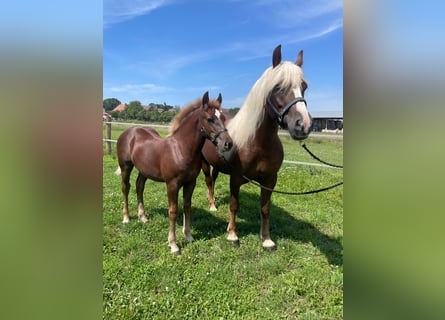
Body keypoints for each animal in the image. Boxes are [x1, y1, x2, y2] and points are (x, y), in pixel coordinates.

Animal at [115, 91, 232, 254]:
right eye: (210, 119)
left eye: (222, 118)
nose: (228, 144)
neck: (181, 149)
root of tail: (129, 132)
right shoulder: (172, 184)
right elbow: (173, 211)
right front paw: (173, 244)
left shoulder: (190, 183)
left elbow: (187, 206)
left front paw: (188, 236)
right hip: (126, 167)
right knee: (126, 188)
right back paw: (126, 218)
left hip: (144, 170)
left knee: (139, 187)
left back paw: (142, 216)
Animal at [201, 45, 312, 250]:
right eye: (278, 87)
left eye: (304, 87)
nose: (304, 125)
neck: (258, 144)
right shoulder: (236, 179)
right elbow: (234, 206)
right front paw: (232, 234)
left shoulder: (270, 180)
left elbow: (265, 208)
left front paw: (266, 239)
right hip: (204, 163)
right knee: (208, 181)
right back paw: (212, 205)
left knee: (213, 179)